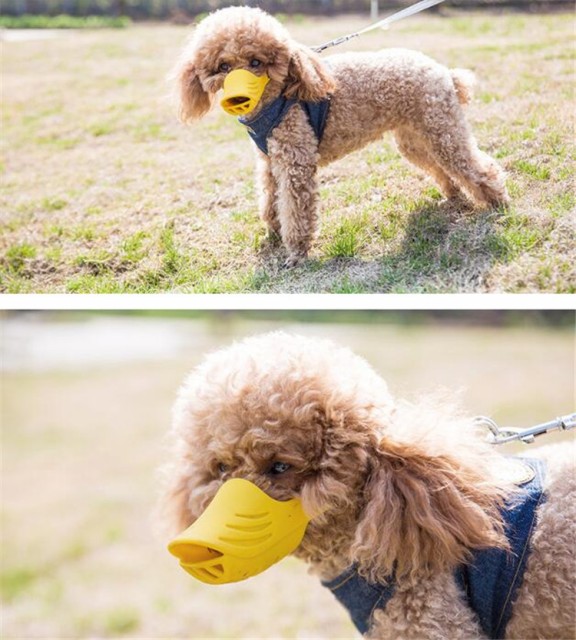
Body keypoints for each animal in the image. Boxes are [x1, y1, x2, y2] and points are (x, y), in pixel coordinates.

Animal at [174, 6, 508, 264]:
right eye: (223, 66)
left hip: (442, 129)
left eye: (256, 62)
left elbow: (295, 207)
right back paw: (454, 197)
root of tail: (444, 72)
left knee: (476, 166)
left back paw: (498, 204)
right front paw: (273, 231)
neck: (279, 97)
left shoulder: (295, 160)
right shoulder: (269, 161)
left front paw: (296, 252)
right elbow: (271, 199)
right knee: (442, 169)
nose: (238, 97)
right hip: (415, 138)